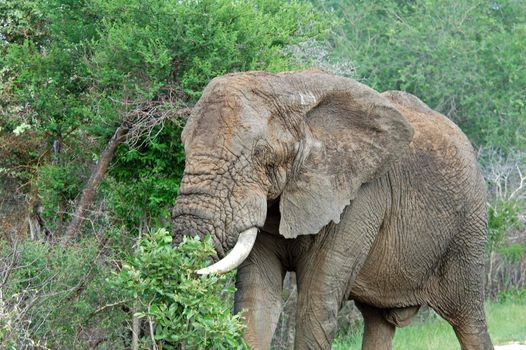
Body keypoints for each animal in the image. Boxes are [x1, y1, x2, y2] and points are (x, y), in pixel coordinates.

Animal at [173, 69, 496, 350]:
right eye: (184, 146)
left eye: (261, 153)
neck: (285, 86)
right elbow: (256, 299)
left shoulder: (360, 195)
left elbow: (315, 303)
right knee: (378, 323)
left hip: (467, 229)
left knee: (469, 319)